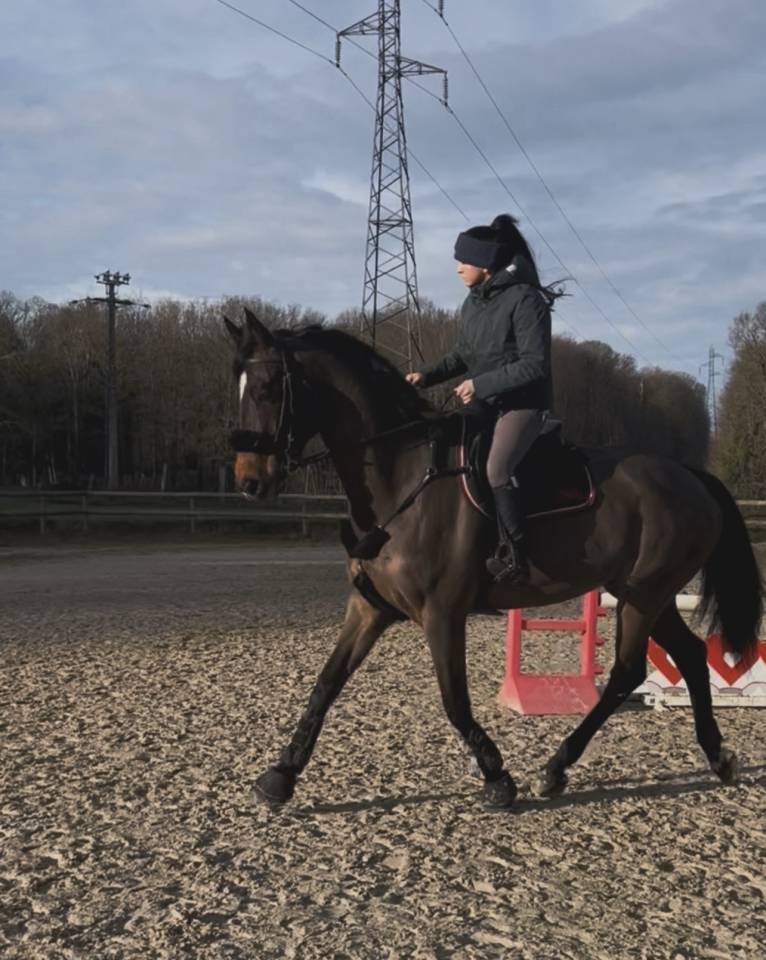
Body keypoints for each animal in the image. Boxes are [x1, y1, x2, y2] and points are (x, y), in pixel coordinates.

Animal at [225, 307, 763, 808]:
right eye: (240, 385)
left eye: (270, 388)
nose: (249, 481)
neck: (403, 479)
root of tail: (691, 476)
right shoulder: (370, 608)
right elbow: (326, 683)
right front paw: (280, 775)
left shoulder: (442, 613)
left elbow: (454, 700)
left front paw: (496, 776)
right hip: (649, 594)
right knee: (689, 654)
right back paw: (716, 756)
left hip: (642, 595)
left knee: (626, 673)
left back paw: (557, 767)